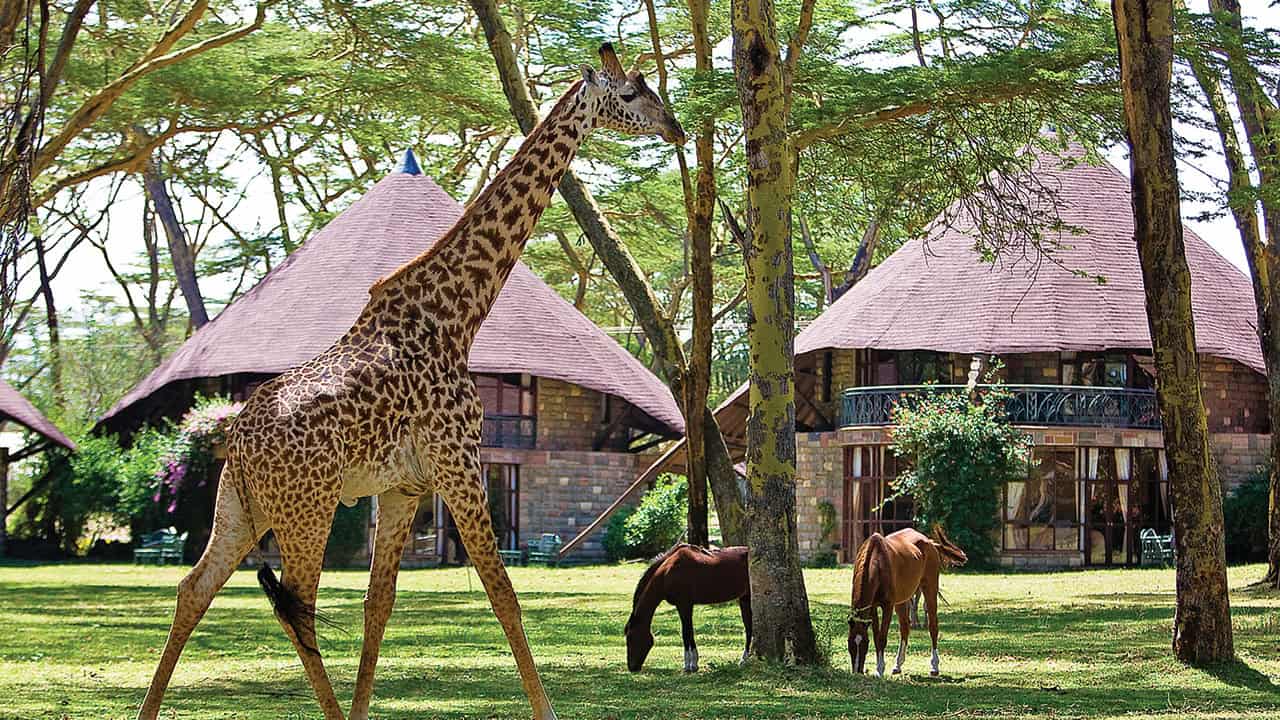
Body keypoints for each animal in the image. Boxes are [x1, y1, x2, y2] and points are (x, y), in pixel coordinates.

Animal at [136, 43, 684, 720]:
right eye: (632, 93)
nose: (675, 127)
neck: (457, 316)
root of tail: (235, 442)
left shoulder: (404, 486)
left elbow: (380, 605)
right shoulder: (458, 461)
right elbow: (503, 594)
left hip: (238, 507)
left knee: (193, 589)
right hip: (306, 508)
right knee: (296, 606)